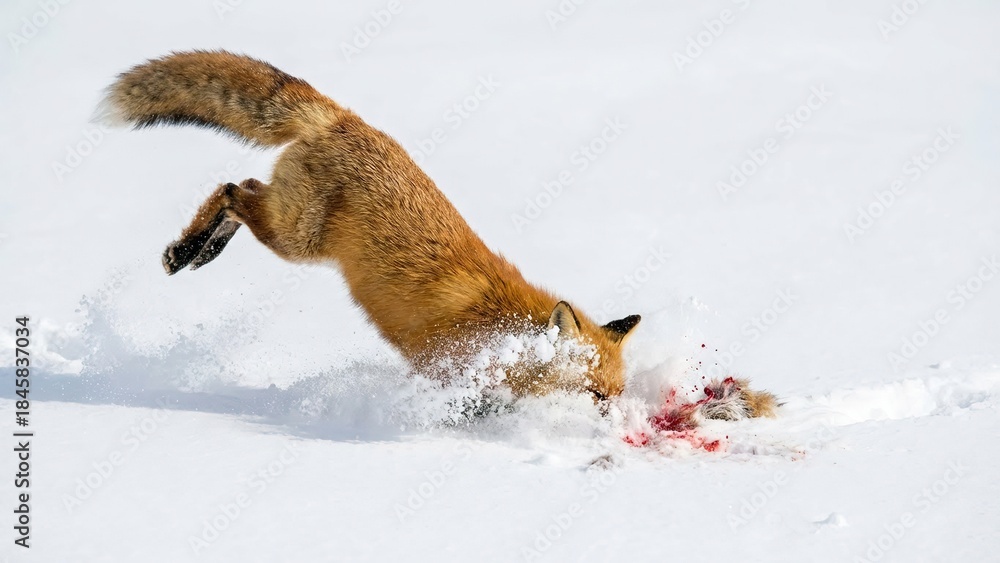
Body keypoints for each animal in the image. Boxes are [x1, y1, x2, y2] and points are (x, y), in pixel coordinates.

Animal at [99, 50, 642, 402]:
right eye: (595, 395)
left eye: (616, 395)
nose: (613, 429)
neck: (503, 330)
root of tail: (346, 120)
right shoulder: (446, 371)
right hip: (295, 237)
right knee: (232, 189)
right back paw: (187, 249)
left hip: (288, 223)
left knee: (243, 186)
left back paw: (201, 249)